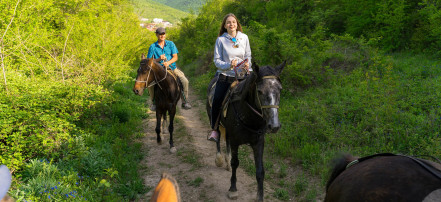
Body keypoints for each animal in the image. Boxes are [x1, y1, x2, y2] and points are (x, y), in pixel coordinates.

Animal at [206, 62, 286, 202]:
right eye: (259, 91)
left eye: (280, 89)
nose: (274, 125)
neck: (248, 116)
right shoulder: (235, 141)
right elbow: (235, 163)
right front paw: (233, 189)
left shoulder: (258, 143)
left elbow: (260, 171)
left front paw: (260, 197)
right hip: (215, 120)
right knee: (218, 138)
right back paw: (220, 159)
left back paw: (226, 161)